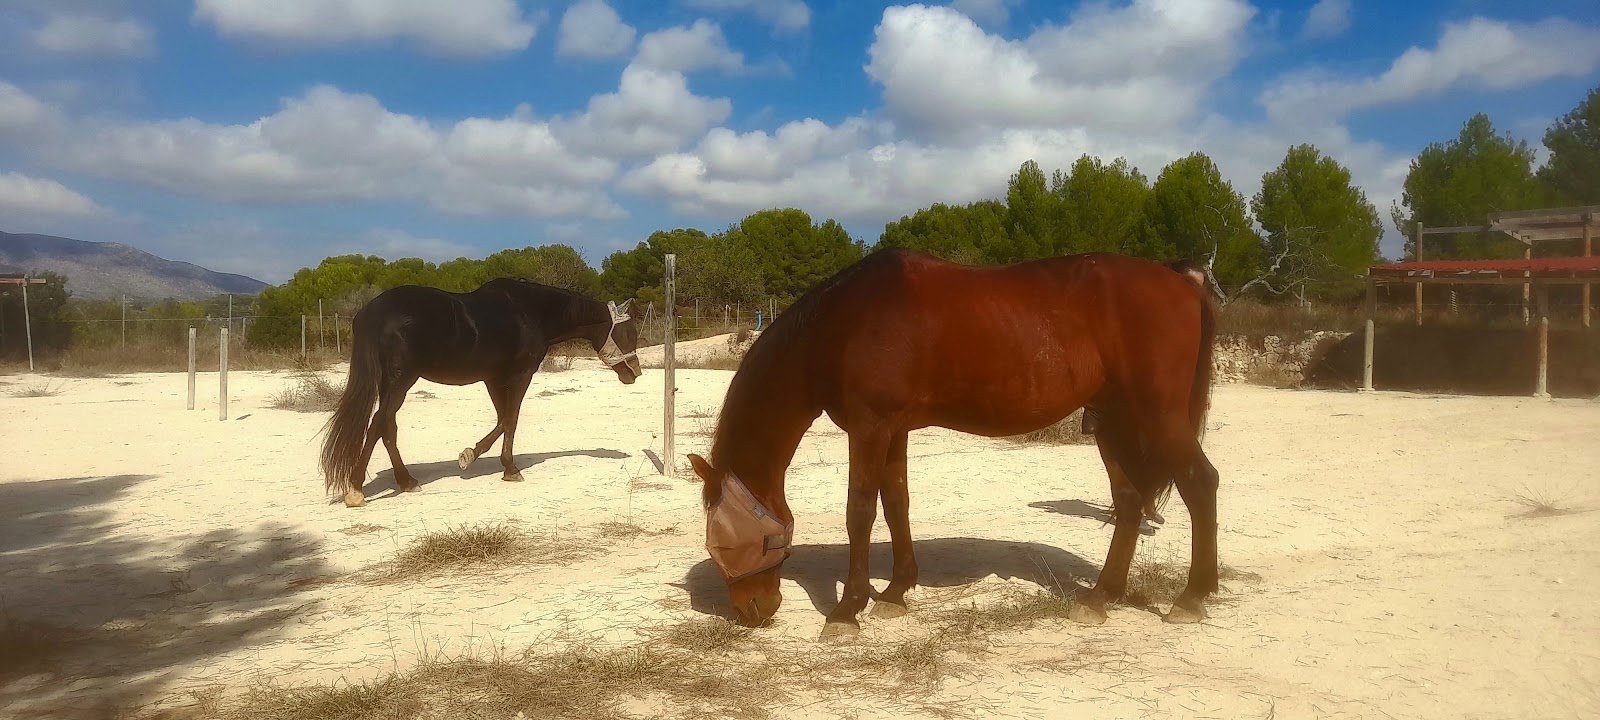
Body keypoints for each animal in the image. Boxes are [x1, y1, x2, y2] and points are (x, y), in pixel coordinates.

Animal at [319, 278, 643, 508]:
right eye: (628, 333)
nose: (635, 373)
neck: (530, 311)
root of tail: (371, 313)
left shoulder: (492, 379)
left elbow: (501, 420)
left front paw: (470, 455)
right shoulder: (521, 376)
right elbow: (511, 420)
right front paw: (508, 468)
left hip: (391, 383)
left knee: (388, 428)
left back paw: (407, 481)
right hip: (400, 381)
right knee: (378, 425)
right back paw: (356, 490)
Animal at [688, 248, 1218, 638]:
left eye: (725, 544)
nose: (750, 611)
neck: (845, 323)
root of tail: (1181, 280)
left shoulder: (869, 427)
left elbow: (860, 510)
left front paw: (846, 610)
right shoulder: (893, 430)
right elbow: (895, 502)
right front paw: (895, 592)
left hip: (1158, 415)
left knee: (1200, 483)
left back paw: (1192, 597)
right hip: (1111, 421)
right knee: (1129, 502)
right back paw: (1100, 597)